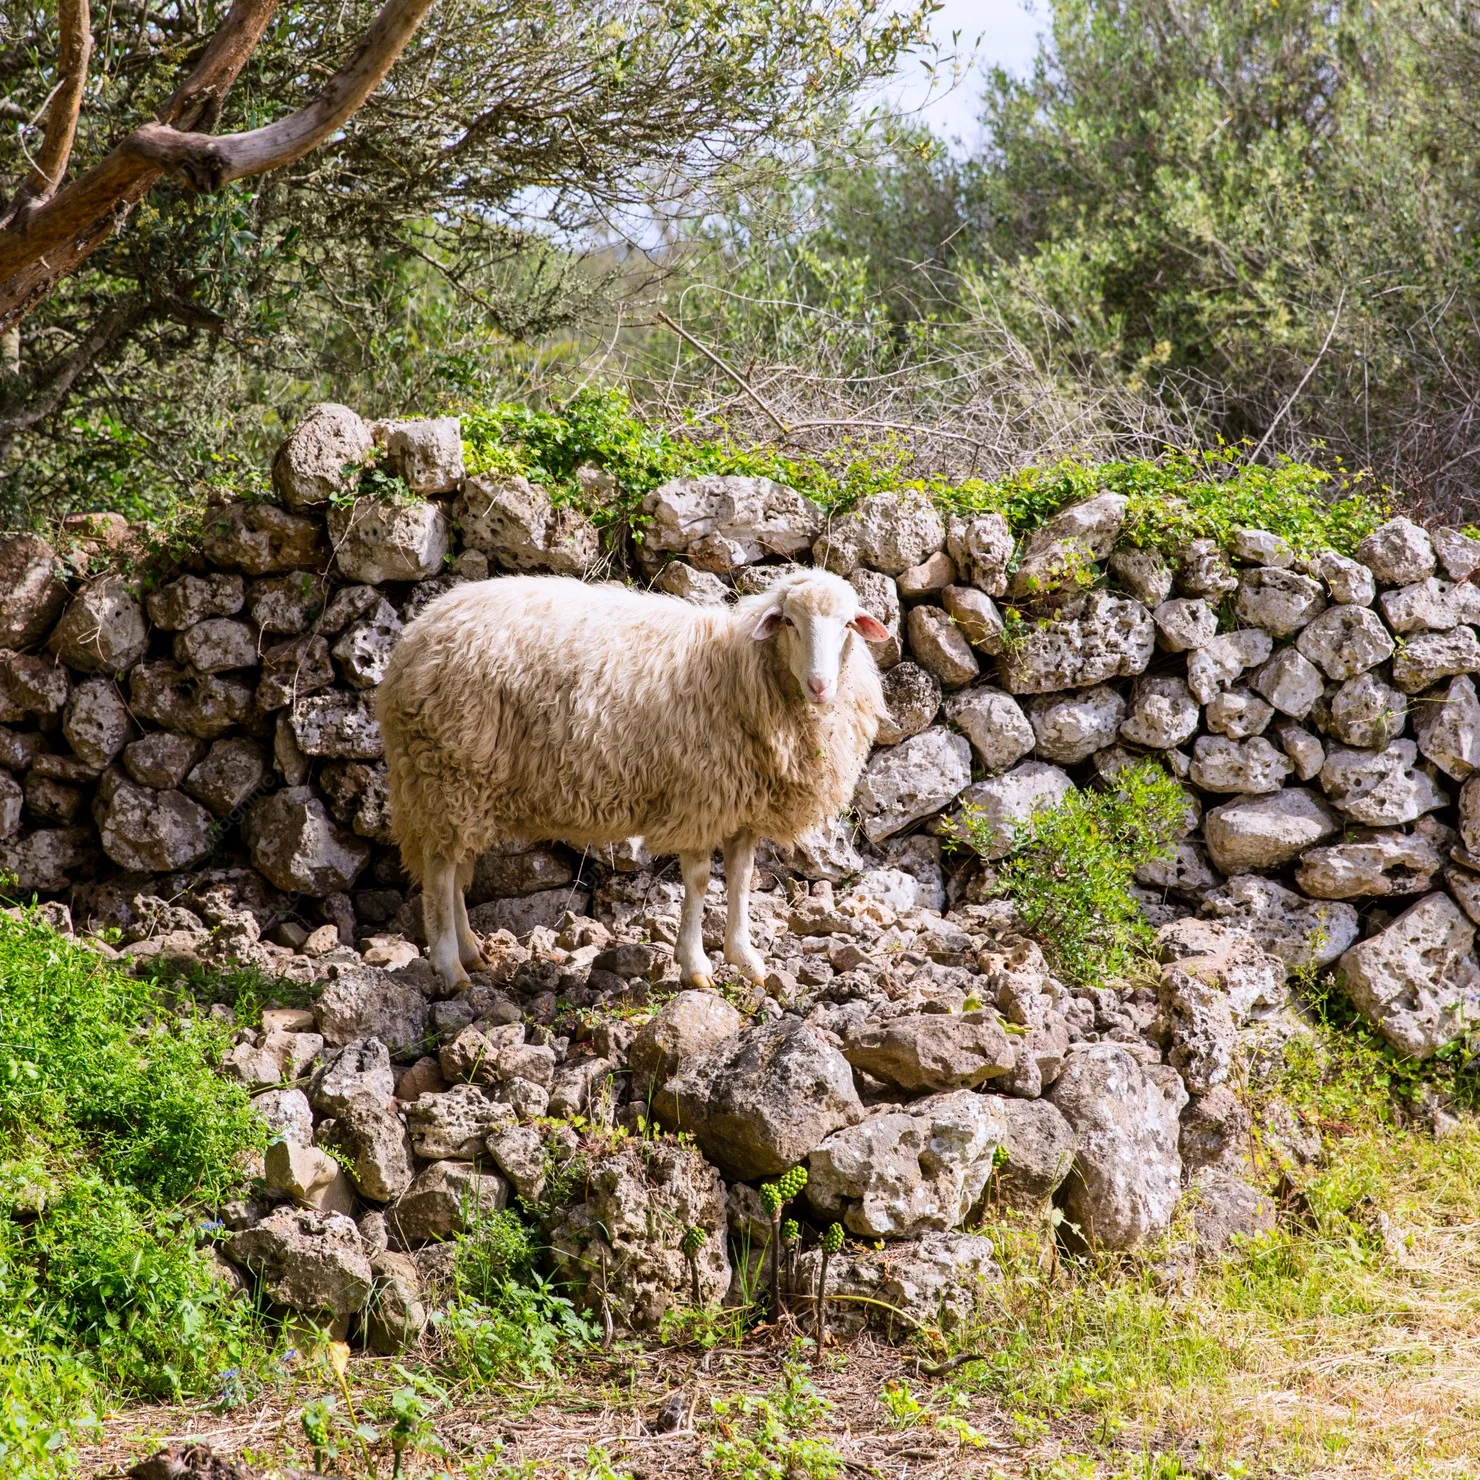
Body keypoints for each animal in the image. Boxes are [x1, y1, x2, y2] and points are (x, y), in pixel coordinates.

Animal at [376, 569, 889, 989]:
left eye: (847, 625)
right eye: (789, 623)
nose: (821, 685)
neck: (738, 669)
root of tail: (418, 632)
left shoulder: (741, 807)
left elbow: (742, 880)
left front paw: (746, 959)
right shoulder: (699, 798)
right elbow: (699, 882)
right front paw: (695, 965)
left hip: (466, 782)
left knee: (455, 868)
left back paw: (470, 952)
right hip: (447, 772)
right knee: (441, 870)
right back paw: (450, 967)